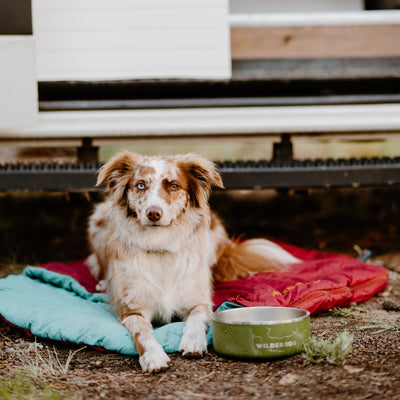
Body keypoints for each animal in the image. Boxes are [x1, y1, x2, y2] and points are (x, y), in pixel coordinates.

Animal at [87, 152, 298, 372]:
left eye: (173, 186)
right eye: (140, 185)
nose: (153, 213)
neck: (160, 245)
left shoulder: (200, 301)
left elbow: (198, 319)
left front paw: (193, 342)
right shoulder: (132, 310)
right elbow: (142, 333)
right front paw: (153, 356)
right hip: (98, 218)